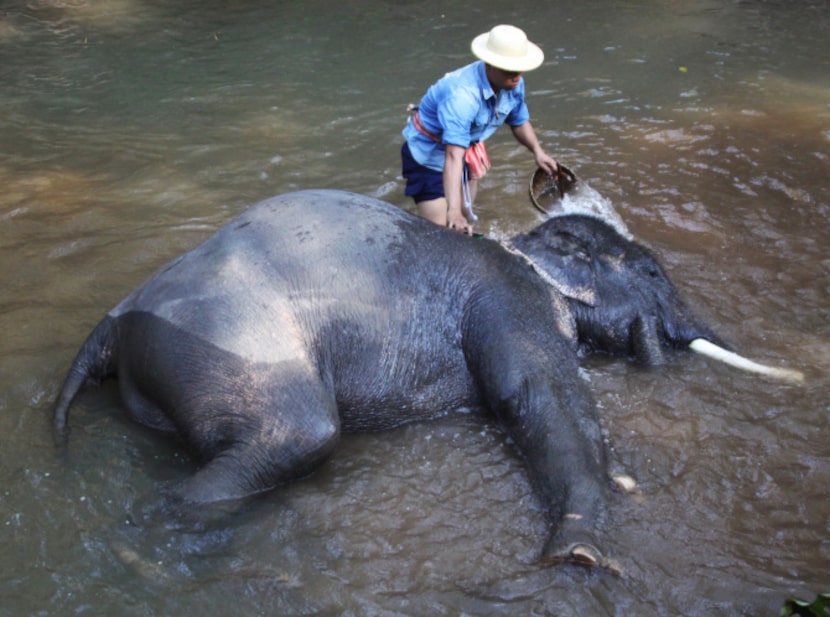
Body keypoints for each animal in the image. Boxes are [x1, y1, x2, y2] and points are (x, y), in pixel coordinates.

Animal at [52, 189, 800, 568]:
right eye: (649, 271)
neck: (520, 248)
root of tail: (112, 323)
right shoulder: (510, 301)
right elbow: (535, 395)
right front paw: (585, 554)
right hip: (229, 346)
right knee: (298, 435)